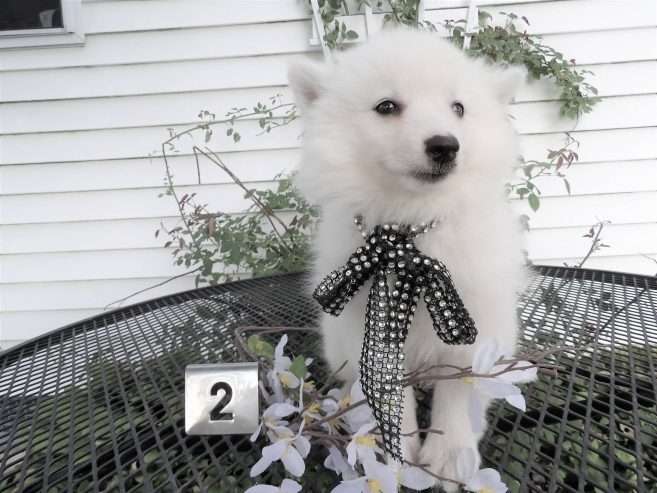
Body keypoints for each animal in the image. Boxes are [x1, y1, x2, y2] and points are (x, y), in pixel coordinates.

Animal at [290, 30, 524, 488]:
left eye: (458, 108)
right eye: (387, 106)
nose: (445, 145)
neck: (411, 228)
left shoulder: (476, 315)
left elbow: (459, 386)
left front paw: (449, 456)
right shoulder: (366, 323)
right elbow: (388, 390)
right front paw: (394, 454)